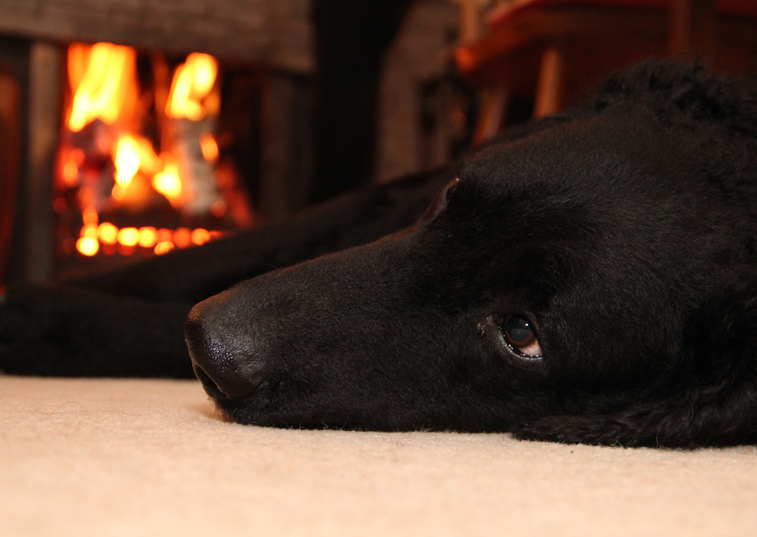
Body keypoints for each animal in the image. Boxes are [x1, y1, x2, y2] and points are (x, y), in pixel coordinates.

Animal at [1, 61, 756, 448]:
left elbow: (145, 322)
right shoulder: (378, 202)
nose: (210, 345)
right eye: (452, 198)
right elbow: (197, 259)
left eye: (521, 333)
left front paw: (34, 316)